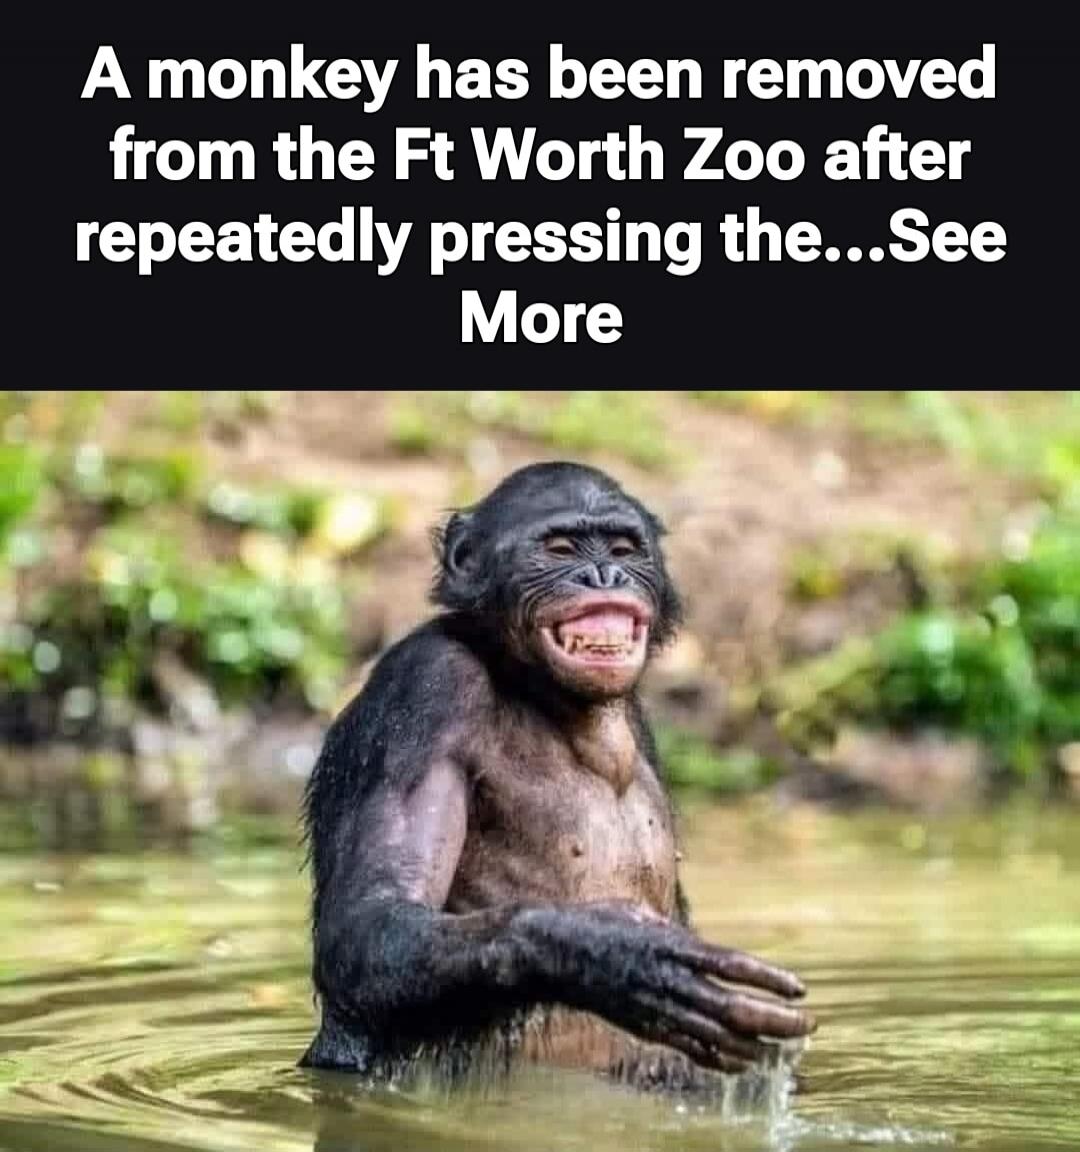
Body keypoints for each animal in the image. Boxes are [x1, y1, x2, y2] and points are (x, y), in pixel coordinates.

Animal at [299, 462, 815, 1089]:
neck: (545, 691)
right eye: (561, 548)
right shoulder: (422, 693)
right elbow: (369, 925)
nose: (604, 573)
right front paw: (621, 955)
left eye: (624, 547)